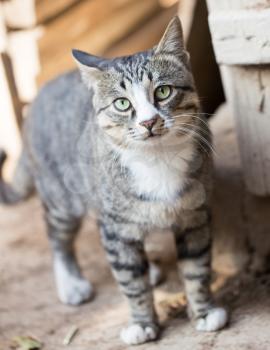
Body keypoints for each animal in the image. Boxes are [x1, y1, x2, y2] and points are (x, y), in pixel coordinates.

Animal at [0, 16, 228, 344]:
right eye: (122, 104)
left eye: (163, 92)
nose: (149, 122)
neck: (157, 160)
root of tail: (41, 94)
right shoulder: (115, 225)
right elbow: (130, 280)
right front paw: (143, 323)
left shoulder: (194, 215)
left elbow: (197, 266)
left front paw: (204, 311)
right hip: (62, 196)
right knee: (57, 236)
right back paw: (71, 283)